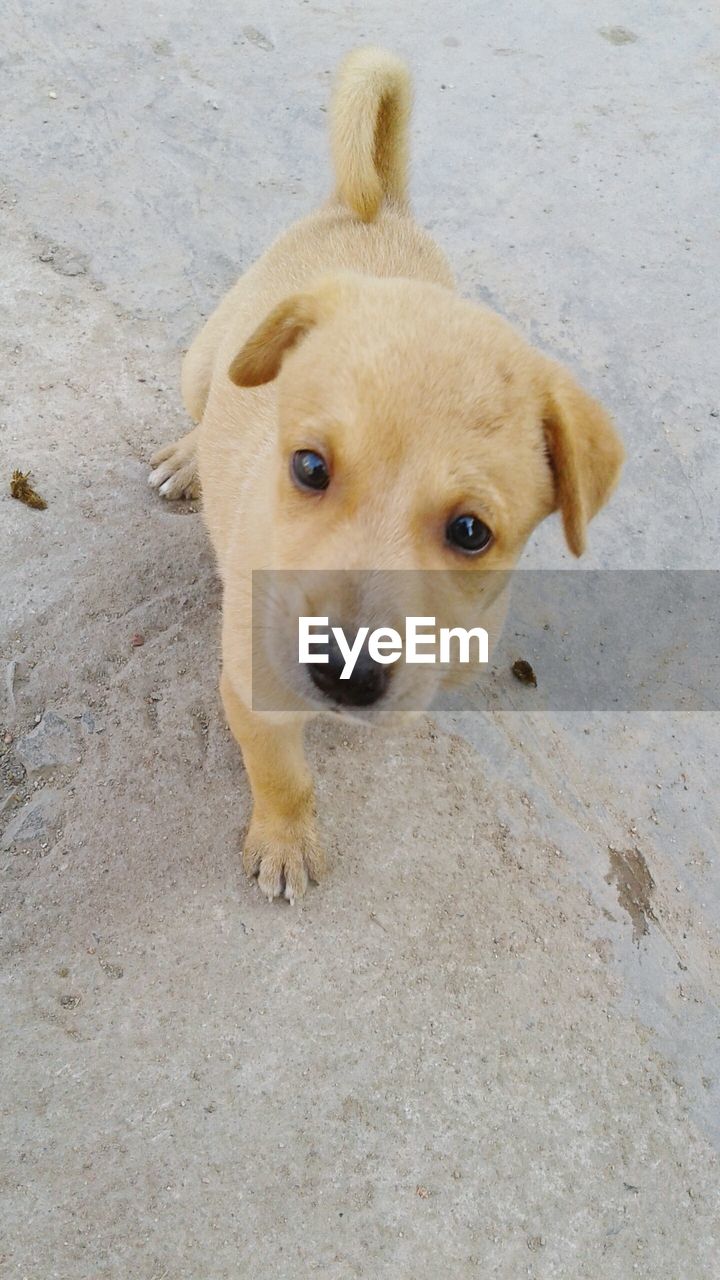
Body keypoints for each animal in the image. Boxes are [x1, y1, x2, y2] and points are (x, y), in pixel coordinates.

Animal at [149, 47, 622, 901]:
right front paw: (286, 841)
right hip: (205, 362)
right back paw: (186, 458)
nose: (345, 675)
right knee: (205, 400)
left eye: (470, 531)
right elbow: (284, 777)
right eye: (309, 467)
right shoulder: (253, 690)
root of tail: (373, 210)